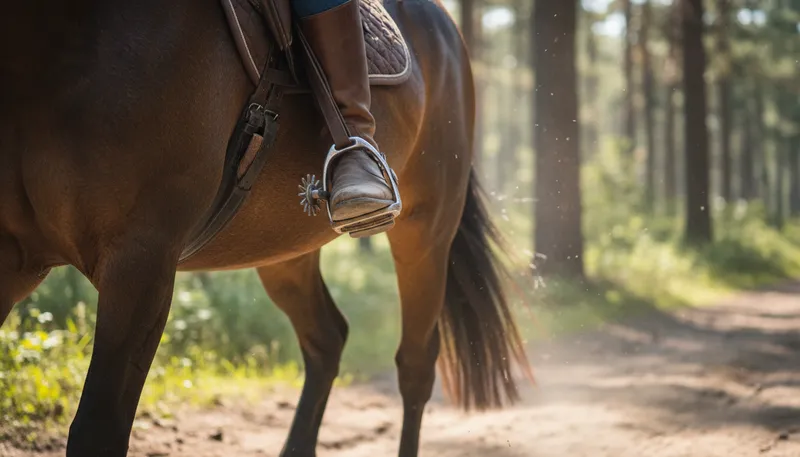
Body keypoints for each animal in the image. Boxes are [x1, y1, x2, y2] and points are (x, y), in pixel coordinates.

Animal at [0, 0, 531, 456]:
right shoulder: (14, 261)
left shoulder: (140, 264)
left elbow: (97, 430)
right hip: (283, 252)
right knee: (327, 338)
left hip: (425, 231)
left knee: (416, 365)